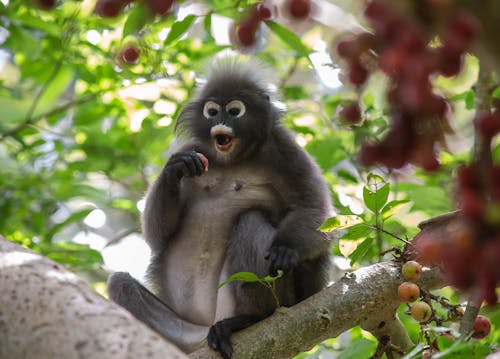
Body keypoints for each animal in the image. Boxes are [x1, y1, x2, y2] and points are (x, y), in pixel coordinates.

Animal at [109, 57, 334, 358]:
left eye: (235, 111)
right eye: (212, 111)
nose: (221, 122)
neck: (232, 159)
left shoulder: (284, 148)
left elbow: (316, 212)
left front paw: (286, 248)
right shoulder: (195, 147)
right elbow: (157, 236)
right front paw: (174, 169)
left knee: (252, 221)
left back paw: (247, 320)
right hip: (182, 332)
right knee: (120, 284)